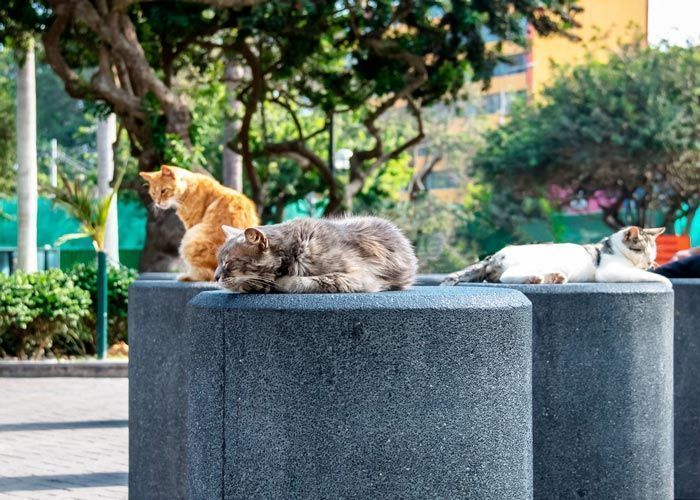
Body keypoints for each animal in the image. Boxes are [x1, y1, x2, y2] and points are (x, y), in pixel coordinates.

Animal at [216, 216, 418, 292]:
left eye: (228, 263)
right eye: (218, 262)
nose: (215, 277)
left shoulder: (359, 278)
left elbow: (305, 281)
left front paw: (277, 282)